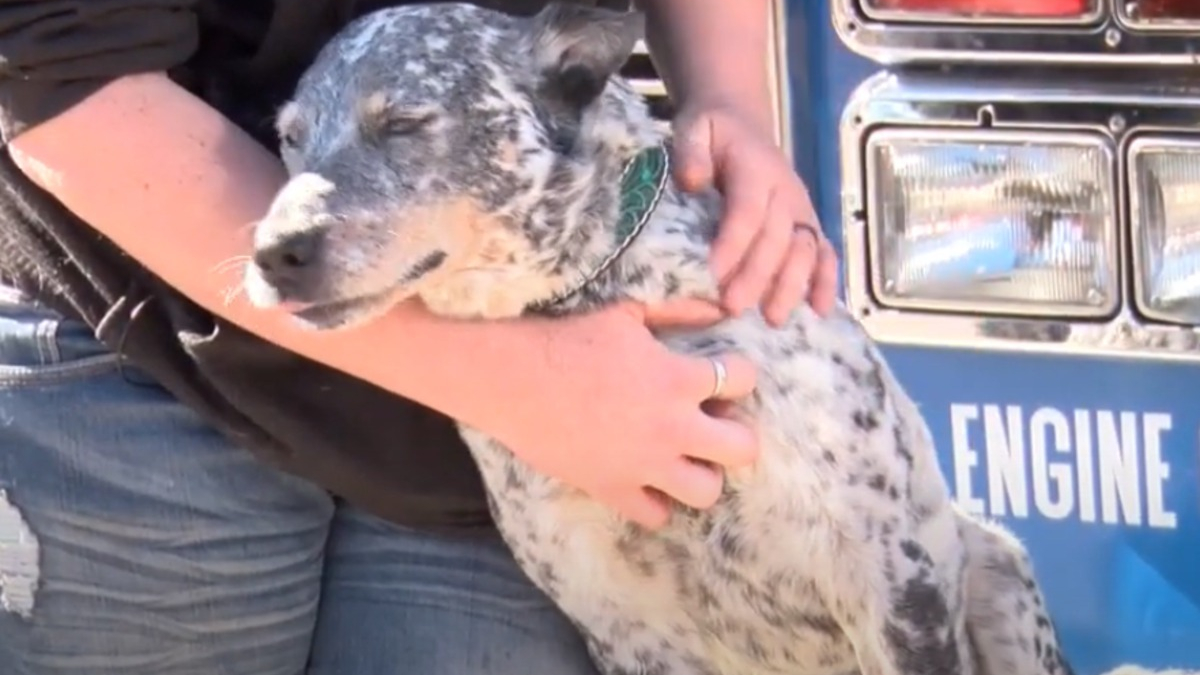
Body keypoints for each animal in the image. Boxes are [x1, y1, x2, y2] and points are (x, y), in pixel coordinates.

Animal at [243, 5, 1080, 672]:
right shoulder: (619, 622)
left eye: (404, 123)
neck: (606, 291)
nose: (274, 252)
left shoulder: (893, 578)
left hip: (999, 566)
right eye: (290, 138)